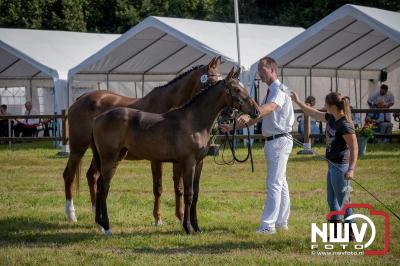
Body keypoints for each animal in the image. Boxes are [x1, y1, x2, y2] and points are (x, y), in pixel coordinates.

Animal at [64, 56, 223, 224]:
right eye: (211, 80)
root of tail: (80, 99)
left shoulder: (180, 159)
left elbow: (178, 186)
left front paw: (180, 217)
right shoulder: (157, 159)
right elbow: (158, 187)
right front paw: (158, 218)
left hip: (102, 155)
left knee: (92, 176)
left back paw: (96, 212)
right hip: (78, 148)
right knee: (69, 175)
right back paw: (71, 214)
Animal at [90, 68, 260, 235]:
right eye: (237, 89)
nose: (256, 111)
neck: (194, 121)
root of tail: (97, 119)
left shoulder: (199, 163)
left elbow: (196, 193)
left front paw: (197, 227)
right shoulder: (189, 163)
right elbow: (188, 194)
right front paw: (187, 227)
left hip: (116, 158)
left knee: (100, 185)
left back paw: (100, 223)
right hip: (109, 159)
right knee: (104, 188)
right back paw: (106, 226)